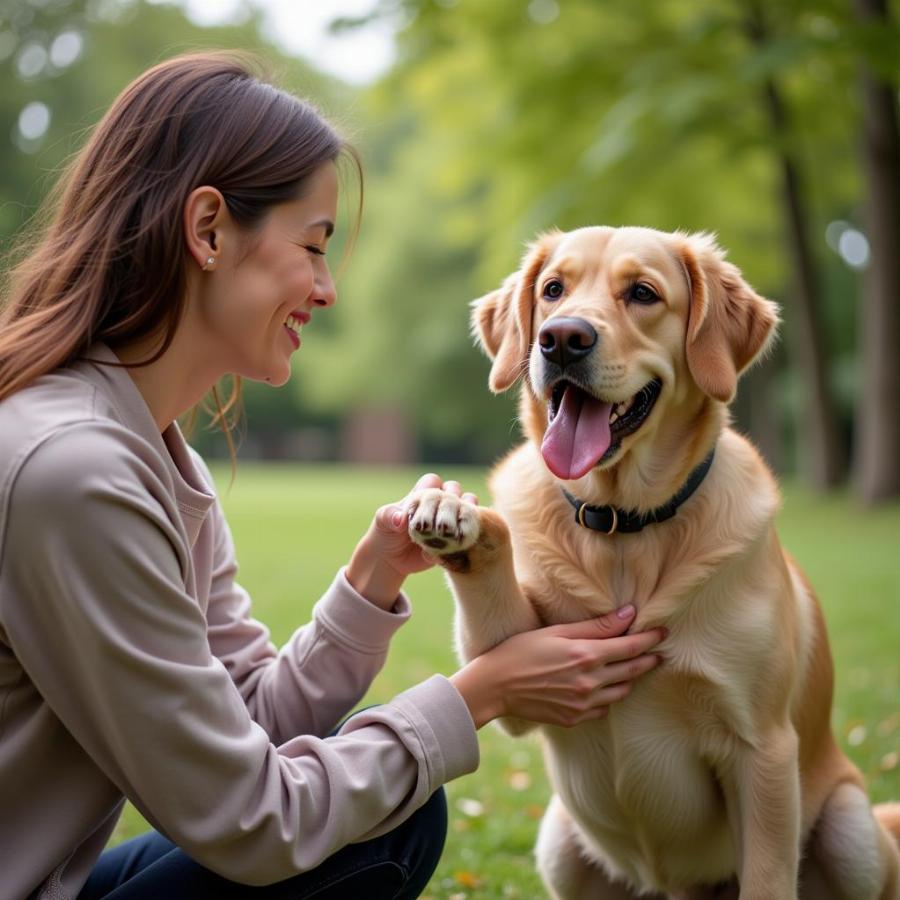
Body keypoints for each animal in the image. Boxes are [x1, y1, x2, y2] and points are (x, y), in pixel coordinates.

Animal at [408, 227, 900, 900]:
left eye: (643, 294)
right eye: (553, 289)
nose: (561, 338)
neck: (623, 527)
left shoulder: (764, 750)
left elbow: (768, 877)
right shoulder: (517, 695)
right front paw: (452, 511)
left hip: (851, 826)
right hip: (559, 840)